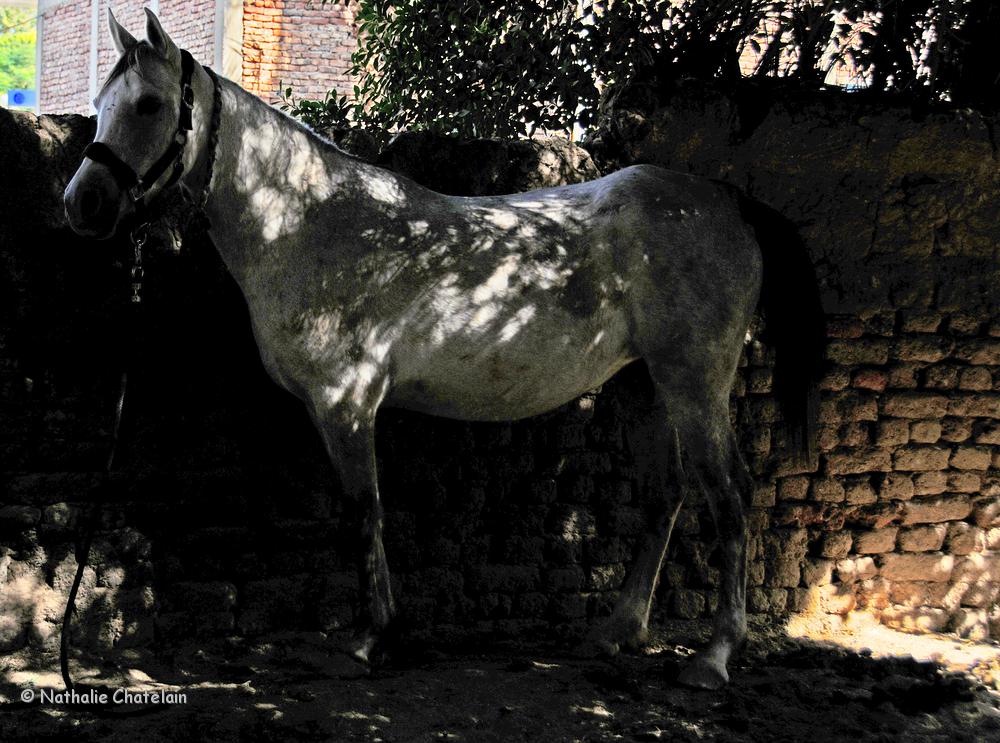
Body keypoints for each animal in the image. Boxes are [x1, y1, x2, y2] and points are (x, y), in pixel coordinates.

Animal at [63, 9, 825, 690]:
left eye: (149, 104)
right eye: (98, 107)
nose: (83, 204)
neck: (309, 224)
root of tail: (723, 199)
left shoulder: (345, 405)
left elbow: (363, 510)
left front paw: (369, 640)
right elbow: (362, 512)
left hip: (696, 386)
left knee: (730, 496)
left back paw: (714, 658)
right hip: (648, 385)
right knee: (669, 492)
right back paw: (618, 630)